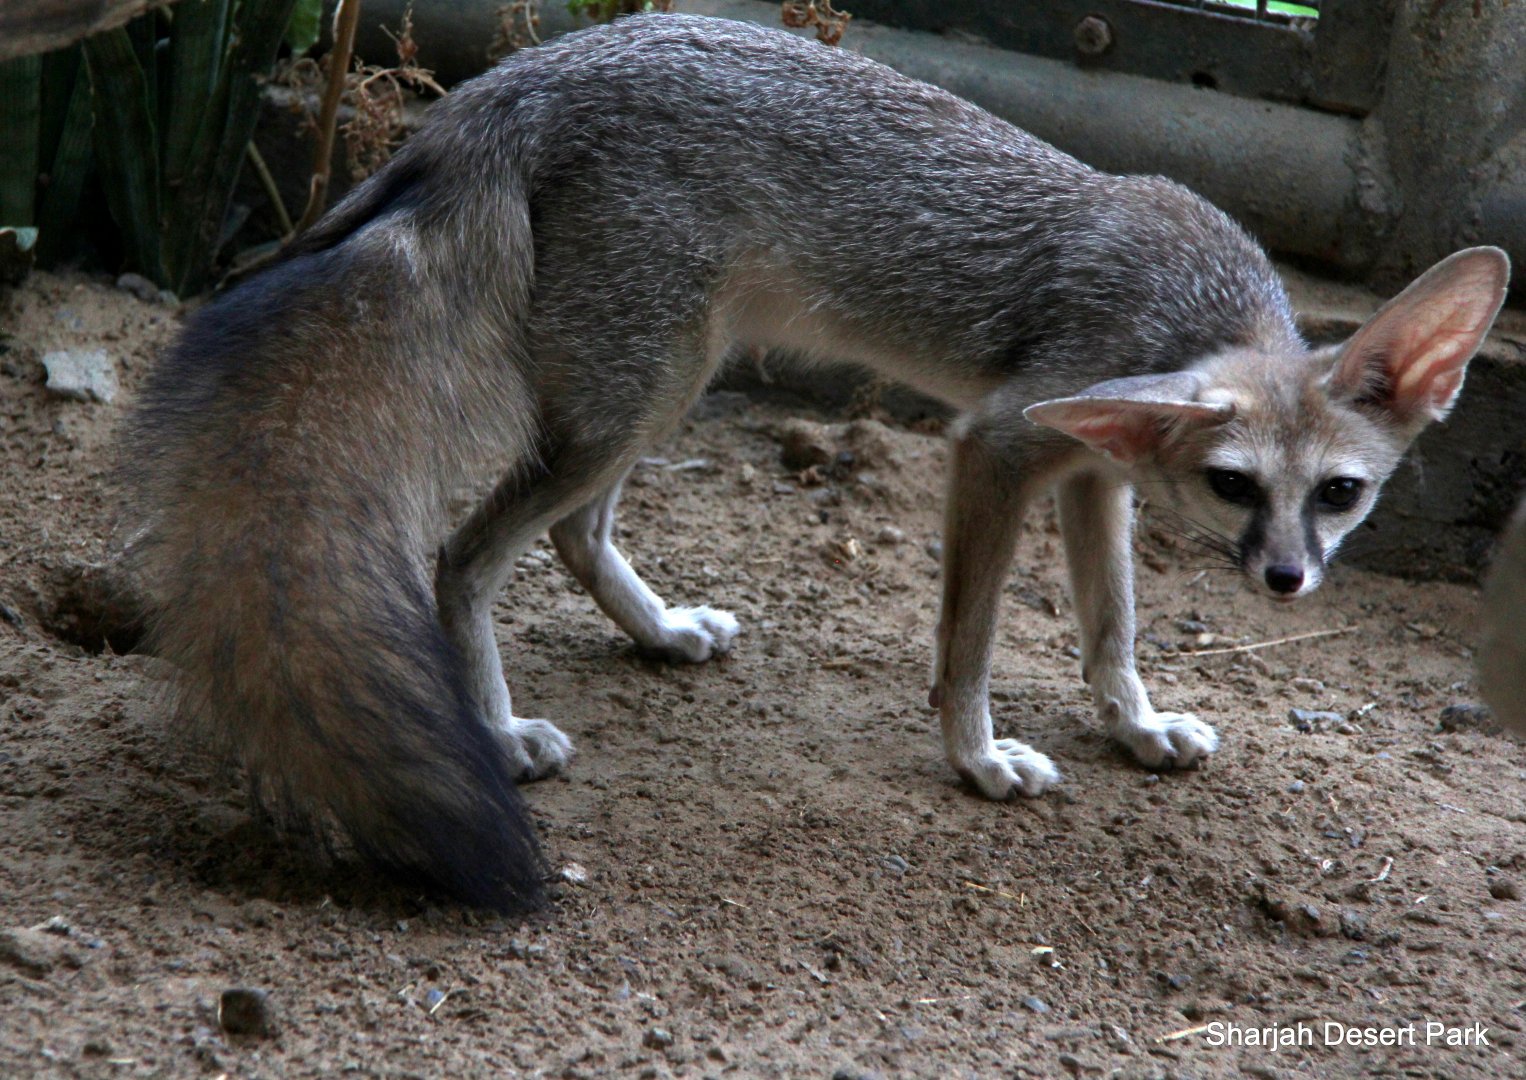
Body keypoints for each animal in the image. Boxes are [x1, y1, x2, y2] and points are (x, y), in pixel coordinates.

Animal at [123, 13, 1511, 910]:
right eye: (1234, 487)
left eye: (1337, 495)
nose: (1283, 581)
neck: (1186, 307)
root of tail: (517, 74)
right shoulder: (996, 448)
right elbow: (968, 646)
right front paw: (976, 760)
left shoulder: (1092, 477)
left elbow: (1110, 628)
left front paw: (1134, 724)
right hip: (637, 395)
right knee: (461, 556)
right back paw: (498, 728)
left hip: (658, 390)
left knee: (570, 533)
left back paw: (656, 633)